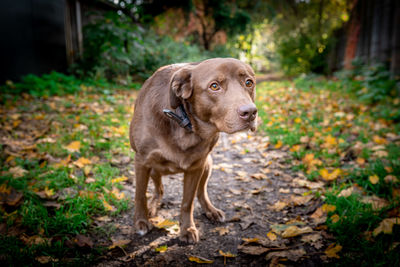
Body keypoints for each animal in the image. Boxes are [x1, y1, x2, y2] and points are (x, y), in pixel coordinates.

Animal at [130, 57, 258, 244]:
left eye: (249, 82)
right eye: (214, 86)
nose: (250, 113)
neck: (184, 121)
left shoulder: (196, 166)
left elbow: (187, 202)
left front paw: (187, 228)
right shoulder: (141, 161)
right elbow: (140, 195)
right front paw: (140, 221)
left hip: (207, 164)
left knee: (201, 192)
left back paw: (211, 210)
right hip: (153, 169)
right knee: (159, 189)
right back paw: (152, 207)